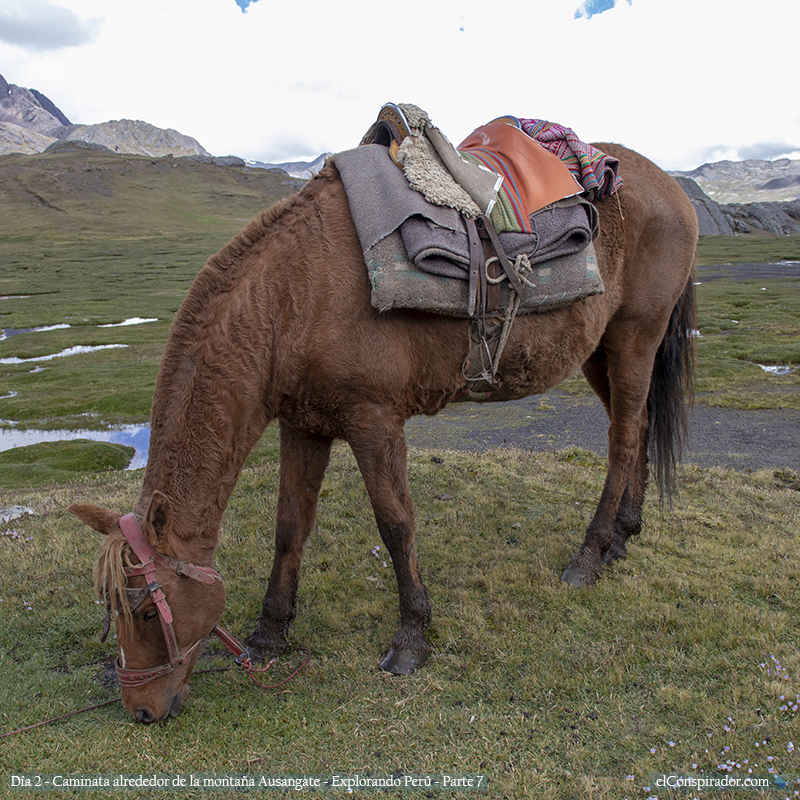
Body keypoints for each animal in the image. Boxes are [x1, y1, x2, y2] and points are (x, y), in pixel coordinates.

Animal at [69, 144, 696, 724]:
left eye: (145, 611)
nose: (141, 710)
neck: (293, 296)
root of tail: (671, 189)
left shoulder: (373, 421)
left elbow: (396, 526)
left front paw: (411, 638)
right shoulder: (304, 425)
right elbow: (290, 528)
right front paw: (270, 634)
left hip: (634, 339)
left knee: (622, 443)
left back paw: (589, 556)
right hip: (600, 354)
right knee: (637, 430)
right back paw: (622, 538)